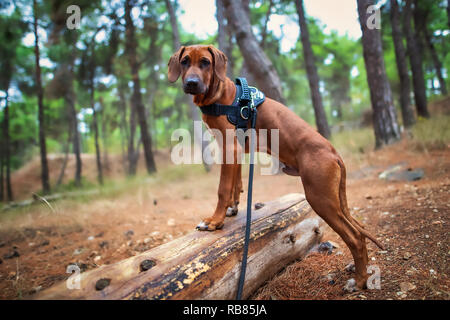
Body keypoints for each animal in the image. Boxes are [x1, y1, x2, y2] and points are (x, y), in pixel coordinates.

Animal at [169, 45, 384, 290]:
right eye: (185, 61)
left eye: (205, 62)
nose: (191, 83)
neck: (222, 95)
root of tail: (334, 153)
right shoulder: (237, 151)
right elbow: (235, 184)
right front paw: (232, 208)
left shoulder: (229, 148)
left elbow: (223, 189)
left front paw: (215, 221)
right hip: (336, 200)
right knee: (360, 232)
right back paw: (361, 274)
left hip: (321, 199)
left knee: (355, 238)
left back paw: (359, 281)